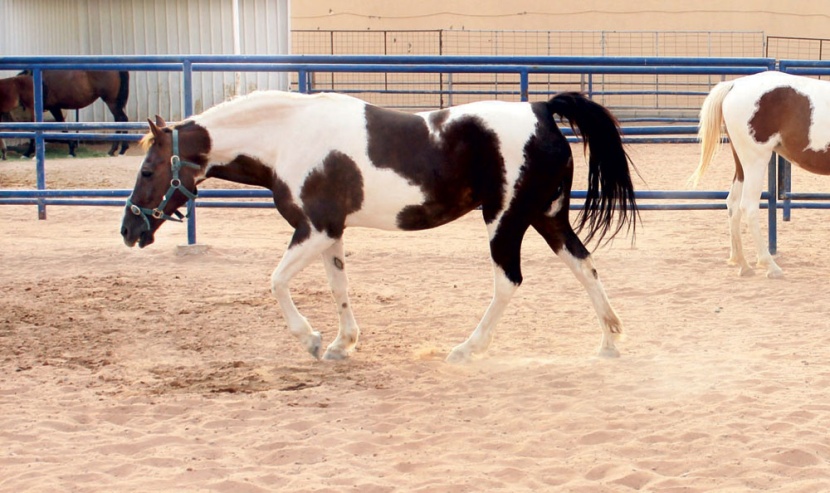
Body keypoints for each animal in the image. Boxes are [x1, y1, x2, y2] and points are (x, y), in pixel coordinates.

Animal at [120, 91, 640, 362]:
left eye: (146, 171)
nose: (129, 231)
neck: (287, 136)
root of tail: (543, 111)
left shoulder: (313, 229)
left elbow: (277, 281)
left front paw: (311, 340)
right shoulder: (331, 233)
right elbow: (338, 286)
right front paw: (340, 344)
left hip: (505, 221)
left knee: (508, 282)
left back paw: (466, 349)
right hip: (547, 217)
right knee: (584, 265)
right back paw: (610, 343)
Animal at [692, 69, 830, 278]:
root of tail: (734, 85)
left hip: (741, 165)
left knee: (733, 204)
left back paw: (743, 263)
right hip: (756, 161)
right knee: (748, 207)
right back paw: (770, 266)